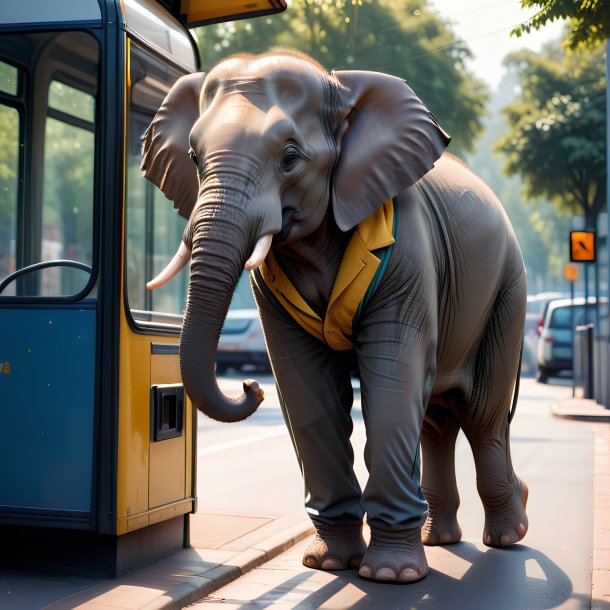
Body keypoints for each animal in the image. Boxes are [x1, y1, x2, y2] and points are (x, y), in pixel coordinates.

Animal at [141, 50, 528, 580]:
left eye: (289, 157)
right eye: (195, 158)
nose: (250, 385)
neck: (339, 85)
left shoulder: (408, 248)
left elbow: (392, 380)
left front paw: (391, 575)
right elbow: (308, 388)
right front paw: (329, 564)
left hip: (507, 290)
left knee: (483, 415)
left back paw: (508, 536)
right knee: (436, 423)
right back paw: (440, 538)